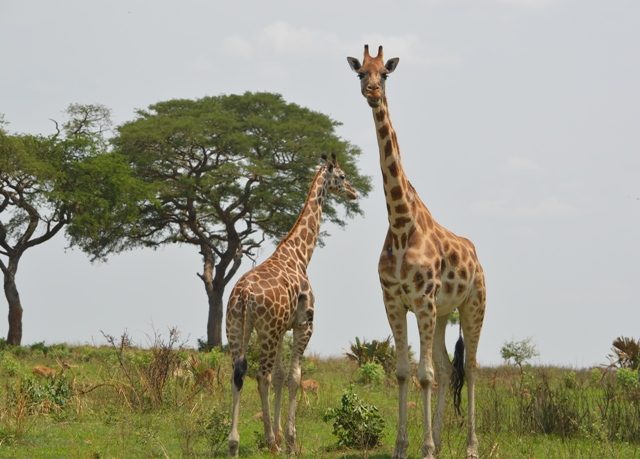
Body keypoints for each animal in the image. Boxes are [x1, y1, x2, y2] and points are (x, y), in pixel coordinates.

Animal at [225, 154, 356, 456]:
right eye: (342, 176)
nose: (354, 192)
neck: (300, 254)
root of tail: (243, 295)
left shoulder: (283, 327)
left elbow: (281, 376)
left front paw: (281, 434)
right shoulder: (304, 324)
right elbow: (294, 377)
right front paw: (291, 441)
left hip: (237, 327)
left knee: (238, 374)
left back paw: (234, 443)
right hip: (267, 331)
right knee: (261, 376)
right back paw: (270, 443)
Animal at [348, 44, 488, 459]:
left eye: (385, 74)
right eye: (360, 72)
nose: (372, 91)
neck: (400, 224)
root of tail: (477, 256)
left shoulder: (422, 300)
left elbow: (423, 375)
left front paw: (424, 447)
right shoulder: (395, 300)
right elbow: (404, 372)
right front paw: (404, 446)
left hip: (473, 304)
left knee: (470, 367)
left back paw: (471, 446)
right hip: (442, 315)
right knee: (446, 368)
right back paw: (441, 440)